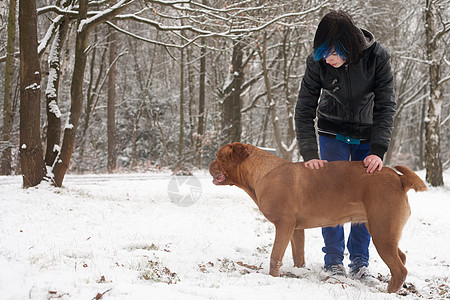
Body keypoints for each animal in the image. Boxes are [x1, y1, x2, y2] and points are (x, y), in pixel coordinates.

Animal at [209, 142, 428, 292]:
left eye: (219, 156)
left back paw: (389, 292)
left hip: (382, 233)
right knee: (402, 258)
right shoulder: (296, 229)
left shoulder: (284, 225)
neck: (263, 173)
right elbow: (298, 256)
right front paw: (298, 273)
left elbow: (275, 257)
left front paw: (273, 278)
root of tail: (399, 179)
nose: (210, 163)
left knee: (400, 269)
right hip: (384, 232)